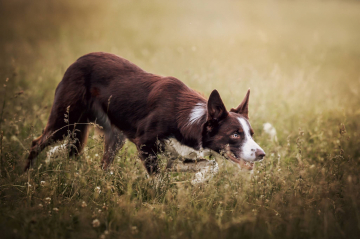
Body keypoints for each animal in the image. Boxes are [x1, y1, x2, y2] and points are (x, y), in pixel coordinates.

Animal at [24, 52, 264, 178]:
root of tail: (77, 61)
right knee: (36, 143)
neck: (187, 120)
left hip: (114, 136)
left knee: (103, 165)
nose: (262, 154)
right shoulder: (145, 144)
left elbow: (208, 164)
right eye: (235, 134)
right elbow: (158, 179)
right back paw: (25, 176)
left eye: (251, 134)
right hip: (64, 121)